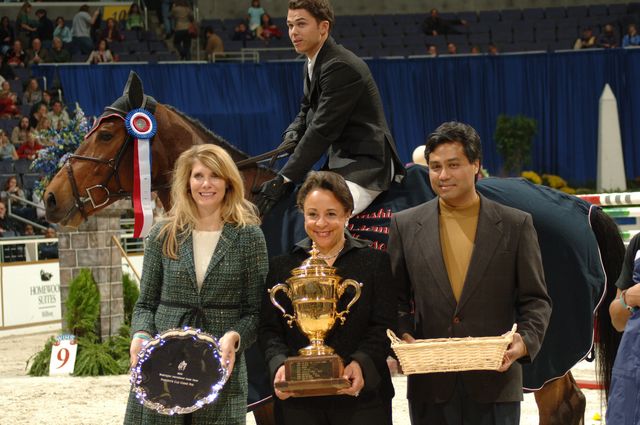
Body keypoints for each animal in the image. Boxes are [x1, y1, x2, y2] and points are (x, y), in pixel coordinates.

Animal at [45, 71, 624, 422]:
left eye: (105, 134)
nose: (51, 199)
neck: (240, 198)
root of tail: (583, 207)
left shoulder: (264, 379)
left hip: (539, 352)